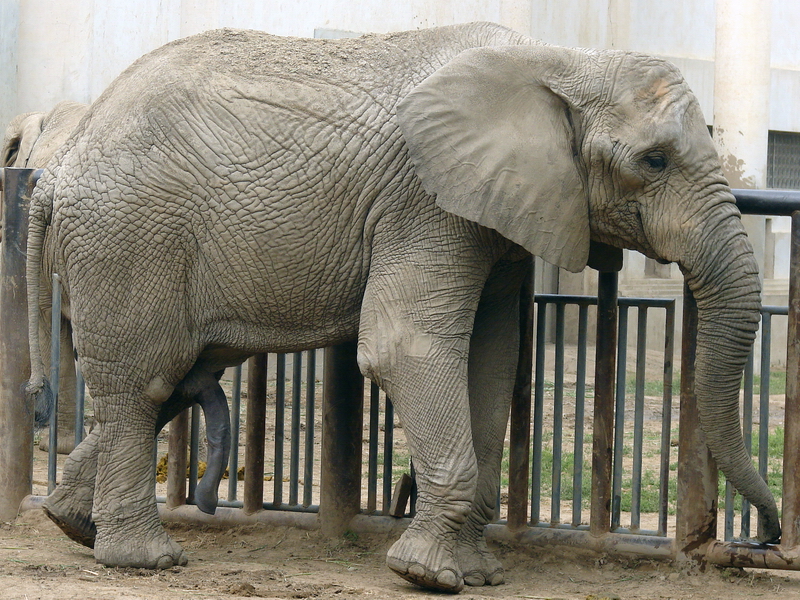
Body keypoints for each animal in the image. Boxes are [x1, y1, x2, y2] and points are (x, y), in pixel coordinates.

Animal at [25, 22, 779, 593]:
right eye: (654, 162)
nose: (769, 539)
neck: (559, 59)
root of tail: (57, 167)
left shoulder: (497, 210)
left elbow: (492, 358)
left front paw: (477, 573)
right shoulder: (425, 199)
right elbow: (404, 345)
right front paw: (430, 577)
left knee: (178, 377)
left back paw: (72, 524)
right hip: (129, 239)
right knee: (144, 383)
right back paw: (144, 560)